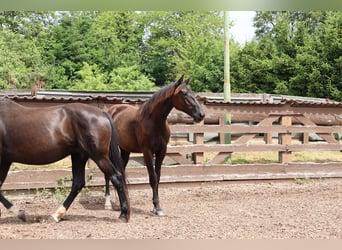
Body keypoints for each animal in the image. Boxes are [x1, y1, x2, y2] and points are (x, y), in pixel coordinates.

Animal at [0, 98, 130, 222]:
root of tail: (102, 113)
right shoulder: (5, 161)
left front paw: (20, 213)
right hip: (79, 155)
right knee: (78, 183)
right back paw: (57, 215)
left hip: (99, 156)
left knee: (116, 177)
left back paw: (123, 215)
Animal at [105, 75, 204, 216]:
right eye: (184, 93)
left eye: (193, 93)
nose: (201, 115)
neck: (154, 120)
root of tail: (111, 111)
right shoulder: (147, 152)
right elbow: (153, 178)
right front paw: (157, 207)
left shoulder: (161, 151)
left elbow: (158, 177)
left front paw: (157, 207)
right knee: (108, 174)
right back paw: (107, 203)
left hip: (125, 150)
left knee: (121, 171)